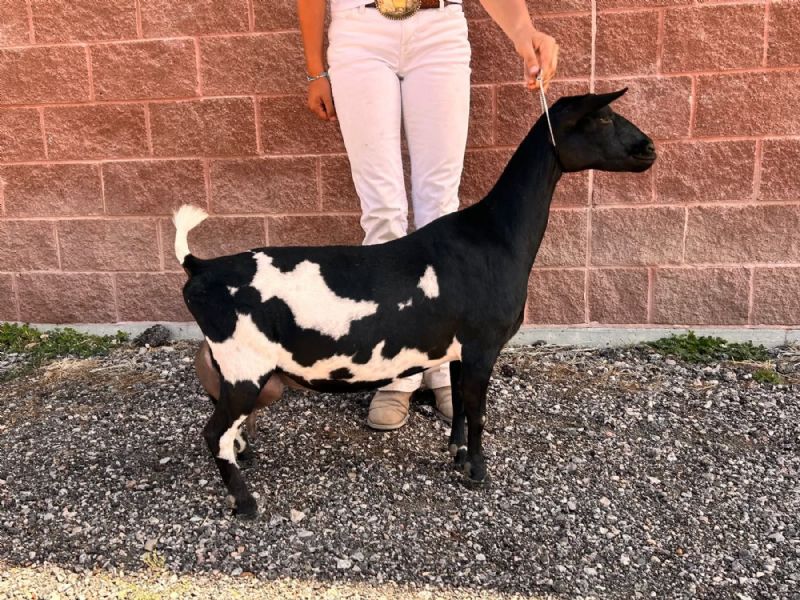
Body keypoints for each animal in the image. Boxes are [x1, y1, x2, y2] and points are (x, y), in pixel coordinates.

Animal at [175, 89, 656, 518]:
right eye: (602, 117)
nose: (649, 148)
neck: (493, 234)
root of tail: (199, 268)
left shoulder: (459, 348)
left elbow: (459, 402)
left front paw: (456, 452)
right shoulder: (483, 346)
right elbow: (478, 411)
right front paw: (477, 472)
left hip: (234, 369)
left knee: (225, 426)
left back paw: (247, 456)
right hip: (245, 365)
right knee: (213, 432)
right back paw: (246, 503)